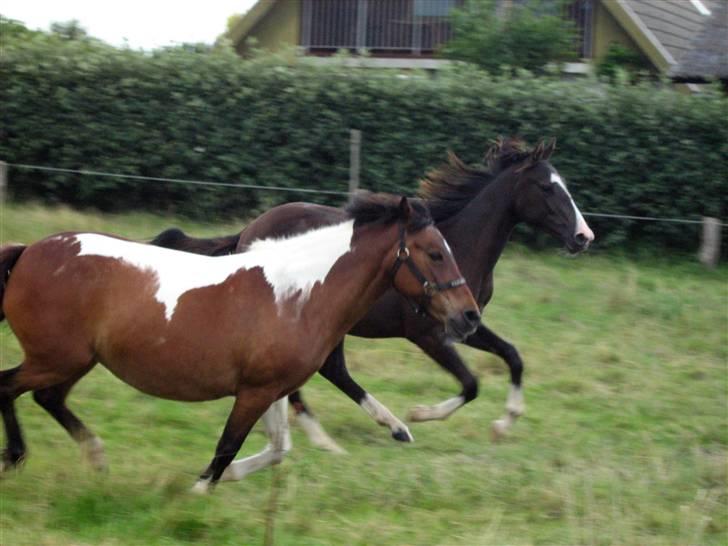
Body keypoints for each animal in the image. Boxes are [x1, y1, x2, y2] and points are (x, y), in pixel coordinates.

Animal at [0, 192, 480, 488]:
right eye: (435, 253)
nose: (470, 317)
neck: (298, 293)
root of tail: (28, 252)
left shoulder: (271, 389)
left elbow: (277, 449)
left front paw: (222, 481)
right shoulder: (254, 392)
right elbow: (228, 447)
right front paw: (193, 494)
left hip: (76, 360)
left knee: (46, 398)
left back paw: (94, 457)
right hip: (57, 358)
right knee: (10, 386)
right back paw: (17, 456)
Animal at [151, 137, 596, 450]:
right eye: (547, 188)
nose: (583, 236)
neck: (459, 245)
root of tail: (249, 229)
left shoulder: (465, 321)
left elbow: (513, 356)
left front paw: (504, 424)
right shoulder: (428, 332)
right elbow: (471, 383)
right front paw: (421, 414)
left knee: (330, 371)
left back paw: (355, 432)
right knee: (321, 373)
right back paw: (339, 436)